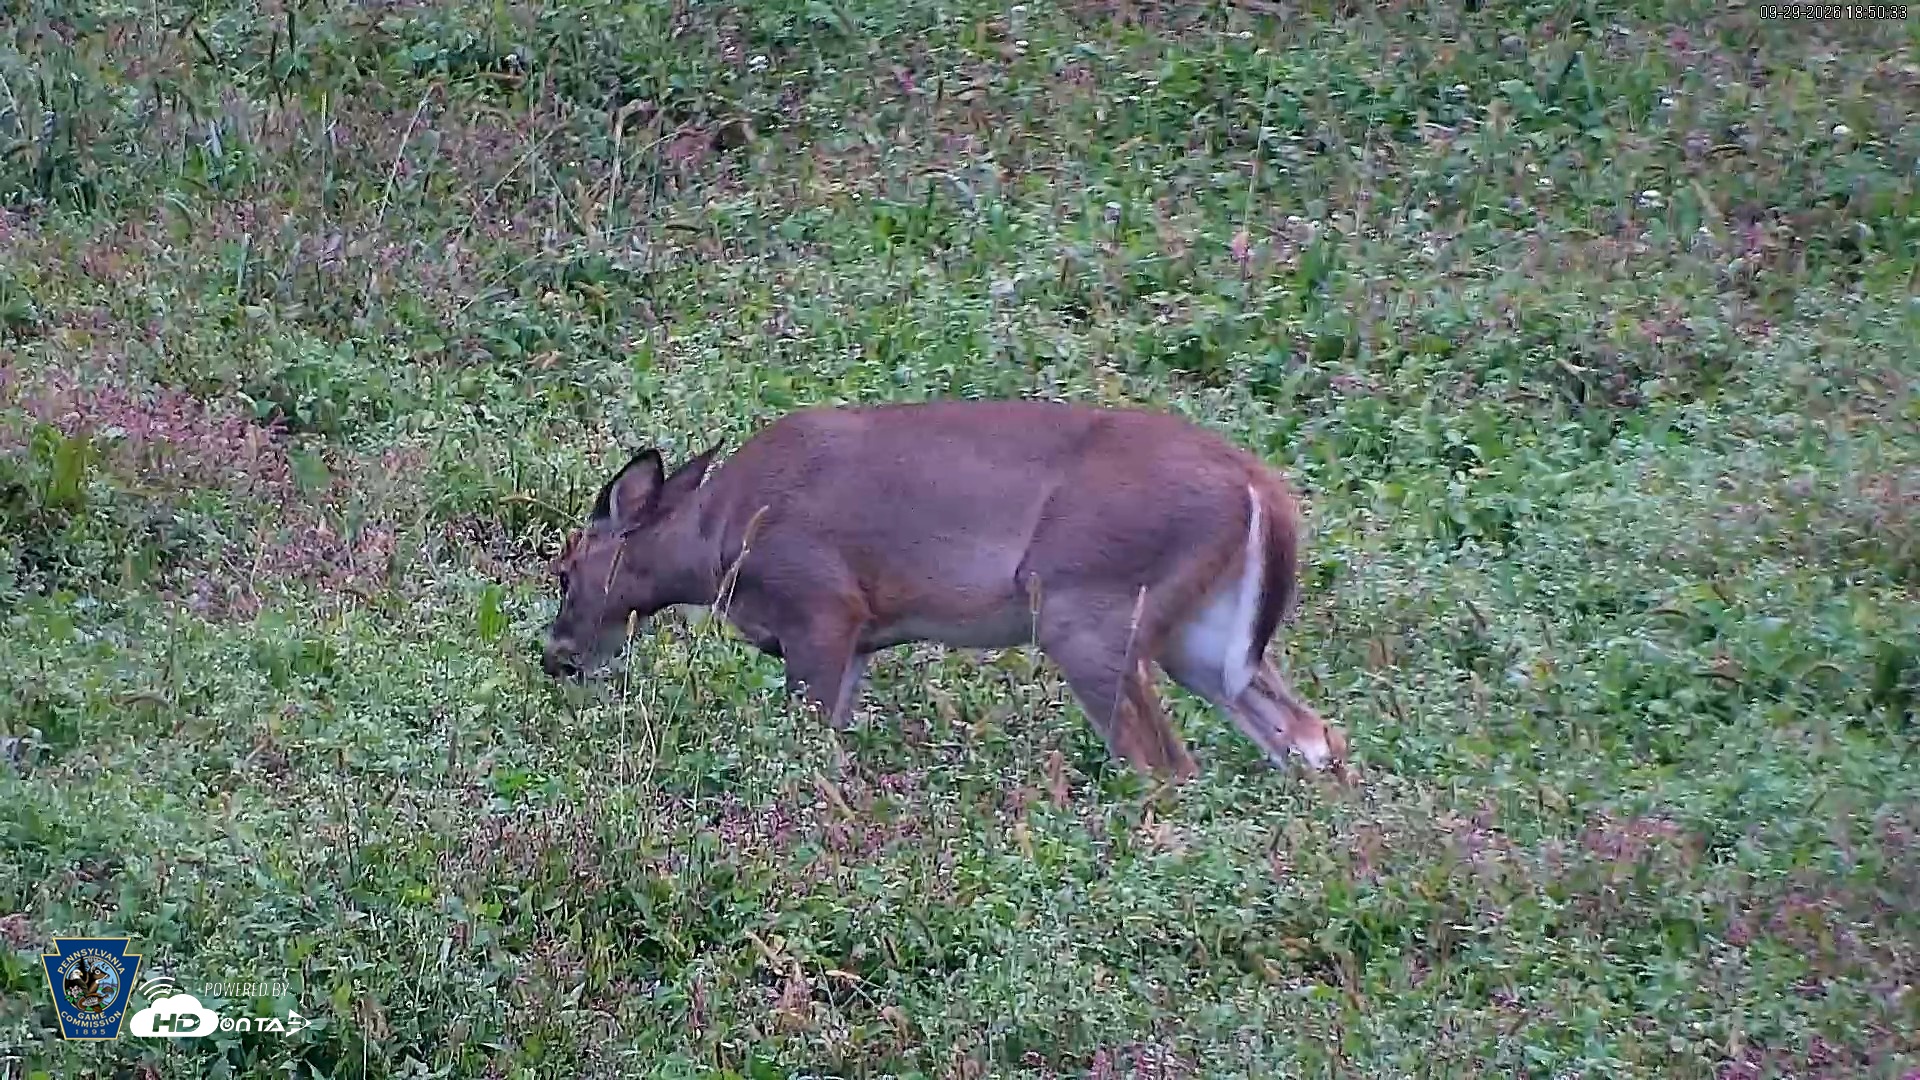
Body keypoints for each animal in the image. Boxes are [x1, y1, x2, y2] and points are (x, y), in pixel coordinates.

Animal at [539, 399, 1348, 781]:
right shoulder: (861, 636)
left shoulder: (821, 606)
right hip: (1198, 636)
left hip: (1087, 611)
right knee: (1311, 735)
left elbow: (810, 741)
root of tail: (1261, 488)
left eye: (565, 568)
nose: (556, 657)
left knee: (1165, 764)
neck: (720, 543)